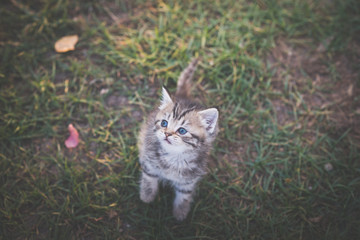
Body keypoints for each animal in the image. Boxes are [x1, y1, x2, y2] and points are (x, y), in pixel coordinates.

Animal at [137, 58, 218, 221]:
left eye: (182, 131)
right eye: (164, 123)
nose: (167, 134)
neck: (174, 157)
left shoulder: (189, 180)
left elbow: (184, 196)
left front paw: (180, 212)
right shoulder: (150, 163)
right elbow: (149, 178)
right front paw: (147, 196)